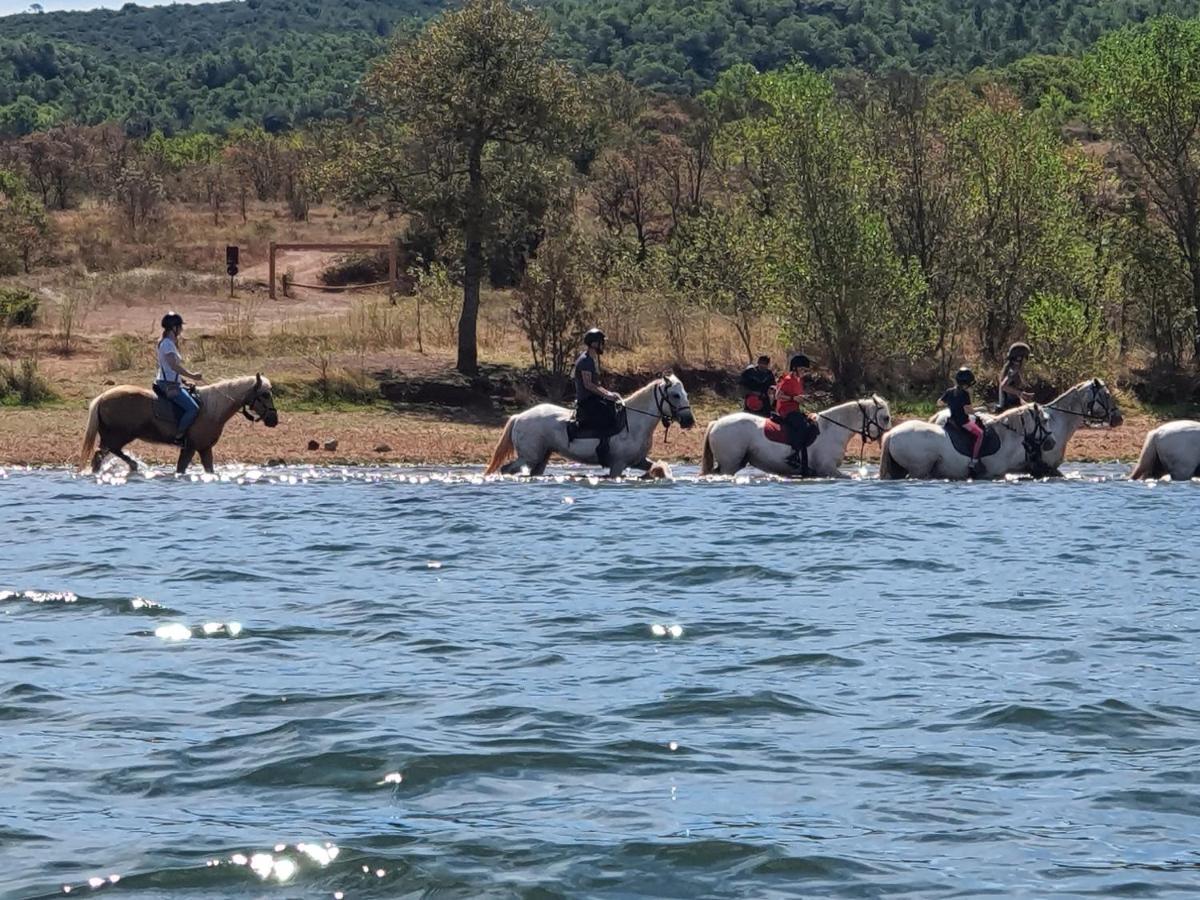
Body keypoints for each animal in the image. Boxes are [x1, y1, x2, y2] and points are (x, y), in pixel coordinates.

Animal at [79, 374, 278, 475]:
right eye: (265, 395)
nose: (274, 420)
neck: (211, 409)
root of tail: (102, 398)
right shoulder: (190, 448)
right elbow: (181, 469)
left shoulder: (204, 448)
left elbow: (209, 470)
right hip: (119, 436)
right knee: (104, 453)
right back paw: (132, 465)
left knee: (101, 456)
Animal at [484, 374, 700, 480]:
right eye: (675, 395)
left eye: (685, 393)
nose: (689, 421)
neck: (635, 422)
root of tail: (519, 417)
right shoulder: (618, 465)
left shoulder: (638, 461)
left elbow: (656, 468)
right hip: (529, 456)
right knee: (506, 469)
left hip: (541, 457)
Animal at [700, 393, 892, 480]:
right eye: (886, 418)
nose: (885, 440)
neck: (832, 429)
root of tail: (716, 423)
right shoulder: (828, 469)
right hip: (729, 464)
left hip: (735, 463)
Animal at [878, 405, 1056, 482]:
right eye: (1045, 420)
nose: (1052, 443)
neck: (1004, 437)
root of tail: (892, 434)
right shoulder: (993, 474)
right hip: (918, 470)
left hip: (900, 469)